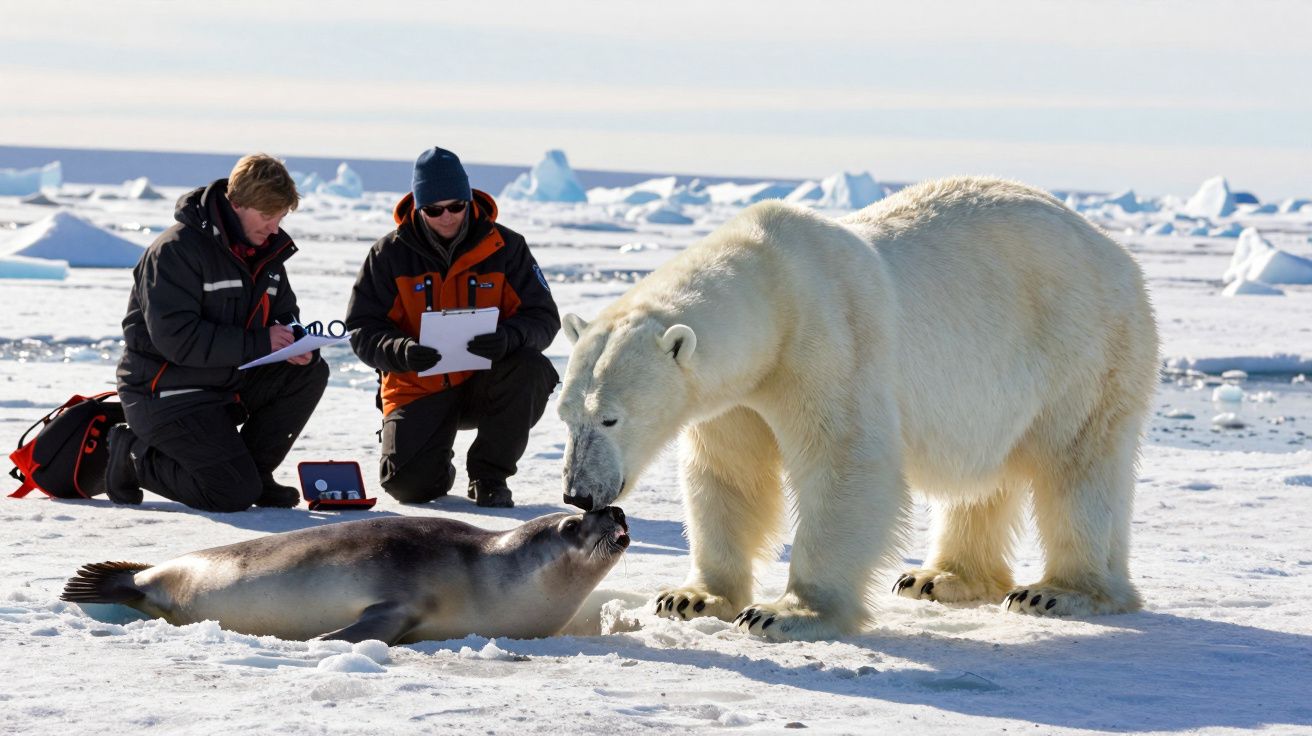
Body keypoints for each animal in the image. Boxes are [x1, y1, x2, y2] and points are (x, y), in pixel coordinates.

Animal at [556, 176, 1159, 641]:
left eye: (611, 417)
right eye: (565, 415)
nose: (577, 493)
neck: (774, 285)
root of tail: (1118, 253)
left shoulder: (829, 344)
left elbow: (845, 464)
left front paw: (785, 613)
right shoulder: (736, 395)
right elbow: (729, 474)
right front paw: (691, 598)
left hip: (1085, 349)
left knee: (1079, 465)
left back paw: (1058, 592)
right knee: (982, 482)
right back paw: (938, 578)